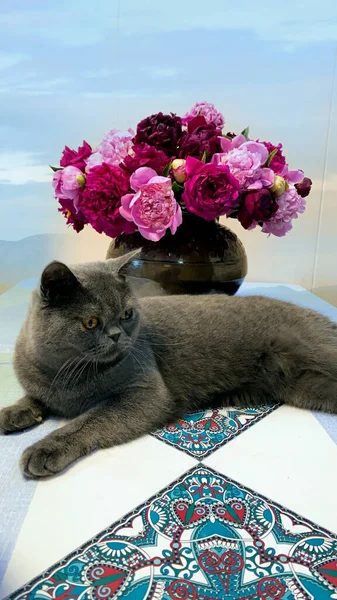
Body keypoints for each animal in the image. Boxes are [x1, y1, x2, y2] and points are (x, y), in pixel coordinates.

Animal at [0, 250, 336, 478]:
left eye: (126, 314)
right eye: (91, 322)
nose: (117, 335)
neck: (67, 374)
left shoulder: (146, 393)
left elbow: (89, 420)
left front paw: (45, 448)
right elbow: (34, 396)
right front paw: (14, 412)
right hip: (307, 386)